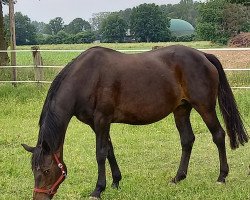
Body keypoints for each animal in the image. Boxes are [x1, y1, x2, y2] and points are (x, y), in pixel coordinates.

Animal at [21, 45, 248, 200]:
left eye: (47, 171)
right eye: (33, 171)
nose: (38, 198)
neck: (85, 78)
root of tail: (203, 55)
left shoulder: (102, 120)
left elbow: (100, 153)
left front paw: (98, 189)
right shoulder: (97, 124)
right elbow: (109, 150)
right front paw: (115, 182)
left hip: (205, 107)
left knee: (218, 135)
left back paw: (221, 177)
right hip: (181, 110)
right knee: (187, 140)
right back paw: (178, 177)